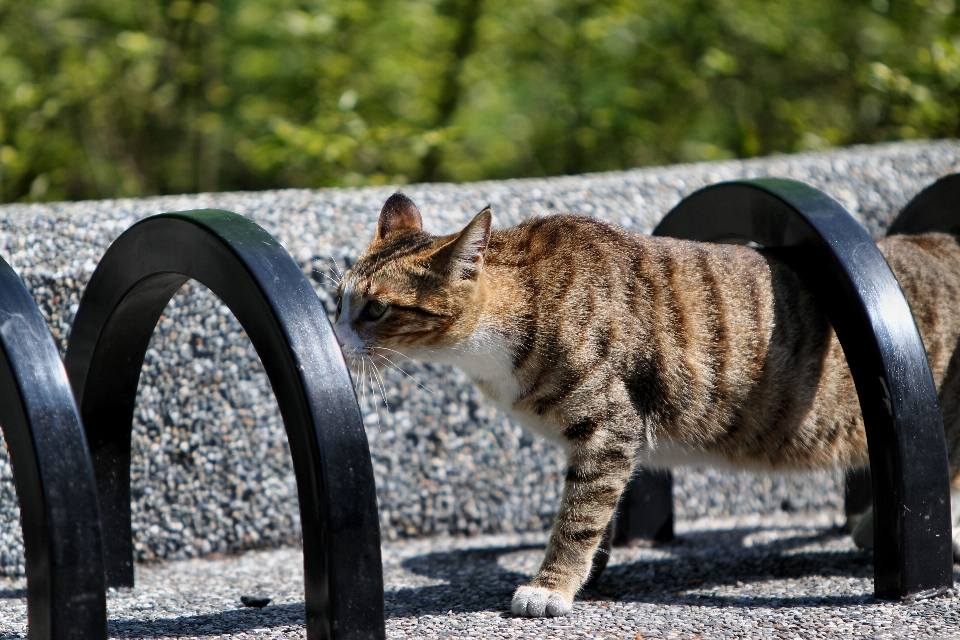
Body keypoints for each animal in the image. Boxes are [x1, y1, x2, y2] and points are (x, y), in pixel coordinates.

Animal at [332, 192, 960, 616]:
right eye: (337, 302)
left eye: (376, 309)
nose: (334, 338)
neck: (521, 305)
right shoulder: (596, 443)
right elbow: (597, 511)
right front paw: (590, 572)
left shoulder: (609, 425)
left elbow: (579, 516)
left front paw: (552, 586)